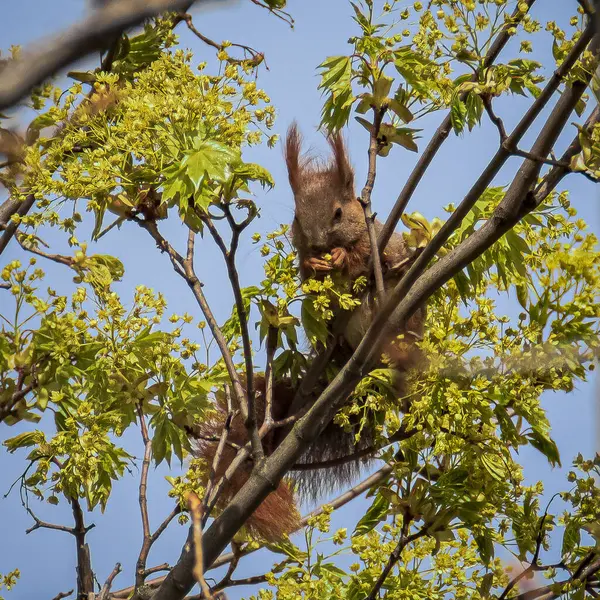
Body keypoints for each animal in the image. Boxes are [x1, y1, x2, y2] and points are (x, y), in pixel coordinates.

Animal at [195, 122, 424, 540]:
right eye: (299, 218)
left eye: (339, 212)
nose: (318, 242)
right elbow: (307, 273)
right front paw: (316, 264)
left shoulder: (377, 238)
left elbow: (368, 255)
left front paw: (342, 256)